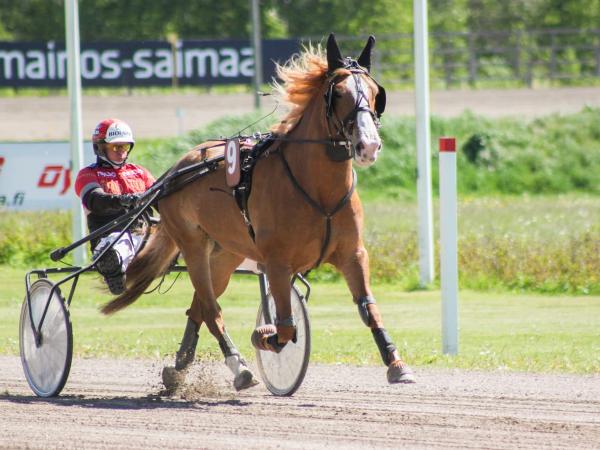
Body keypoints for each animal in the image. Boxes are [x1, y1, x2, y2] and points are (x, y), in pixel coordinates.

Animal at [101, 33, 415, 390]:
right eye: (338, 94)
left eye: (376, 93)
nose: (368, 145)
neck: (318, 190)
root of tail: (177, 169)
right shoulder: (277, 262)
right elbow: (286, 325)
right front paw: (265, 337)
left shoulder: (353, 255)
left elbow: (368, 309)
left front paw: (395, 362)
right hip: (193, 247)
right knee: (211, 310)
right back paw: (238, 366)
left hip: (226, 254)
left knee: (198, 308)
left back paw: (179, 367)